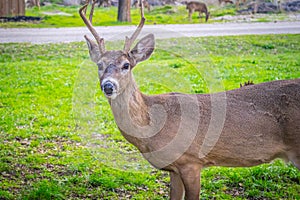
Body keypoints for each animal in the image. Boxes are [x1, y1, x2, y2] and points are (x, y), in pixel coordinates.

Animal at [79, 0, 300, 199]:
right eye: (99, 65)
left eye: (126, 65)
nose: (108, 86)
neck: (154, 124)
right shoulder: (174, 168)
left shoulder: (191, 162)